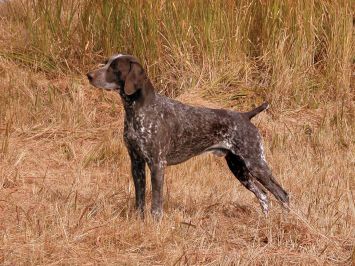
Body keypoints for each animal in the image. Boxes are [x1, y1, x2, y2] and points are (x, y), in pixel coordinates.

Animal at [87, 53, 290, 218]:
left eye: (115, 68)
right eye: (106, 63)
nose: (89, 75)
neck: (137, 109)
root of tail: (245, 115)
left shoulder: (157, 164)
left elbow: (156, 205)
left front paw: (155, 225)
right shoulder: (136, 163)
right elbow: (140, 200)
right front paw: (139, 221)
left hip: (256, 165)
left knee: (282, 194)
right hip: (239, 168)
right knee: (263, 195)